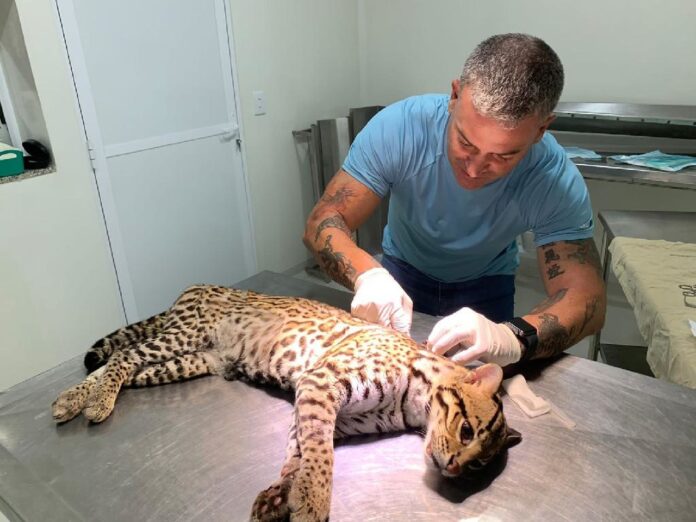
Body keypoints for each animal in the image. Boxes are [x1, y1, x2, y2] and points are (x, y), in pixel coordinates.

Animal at [51, 285, 520, 521]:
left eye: (479, 465)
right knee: (123, 356)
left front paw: (281, 495)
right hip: (182, 336)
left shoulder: (325, 411)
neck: (411, 403)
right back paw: (93, 402)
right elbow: (319, 455)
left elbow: (298, 453)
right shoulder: (320, 384)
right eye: (466, 431)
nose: (455, 468)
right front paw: (313, 501)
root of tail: (194, 286)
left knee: (118, 365)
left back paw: (75, 399)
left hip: (192, 360)